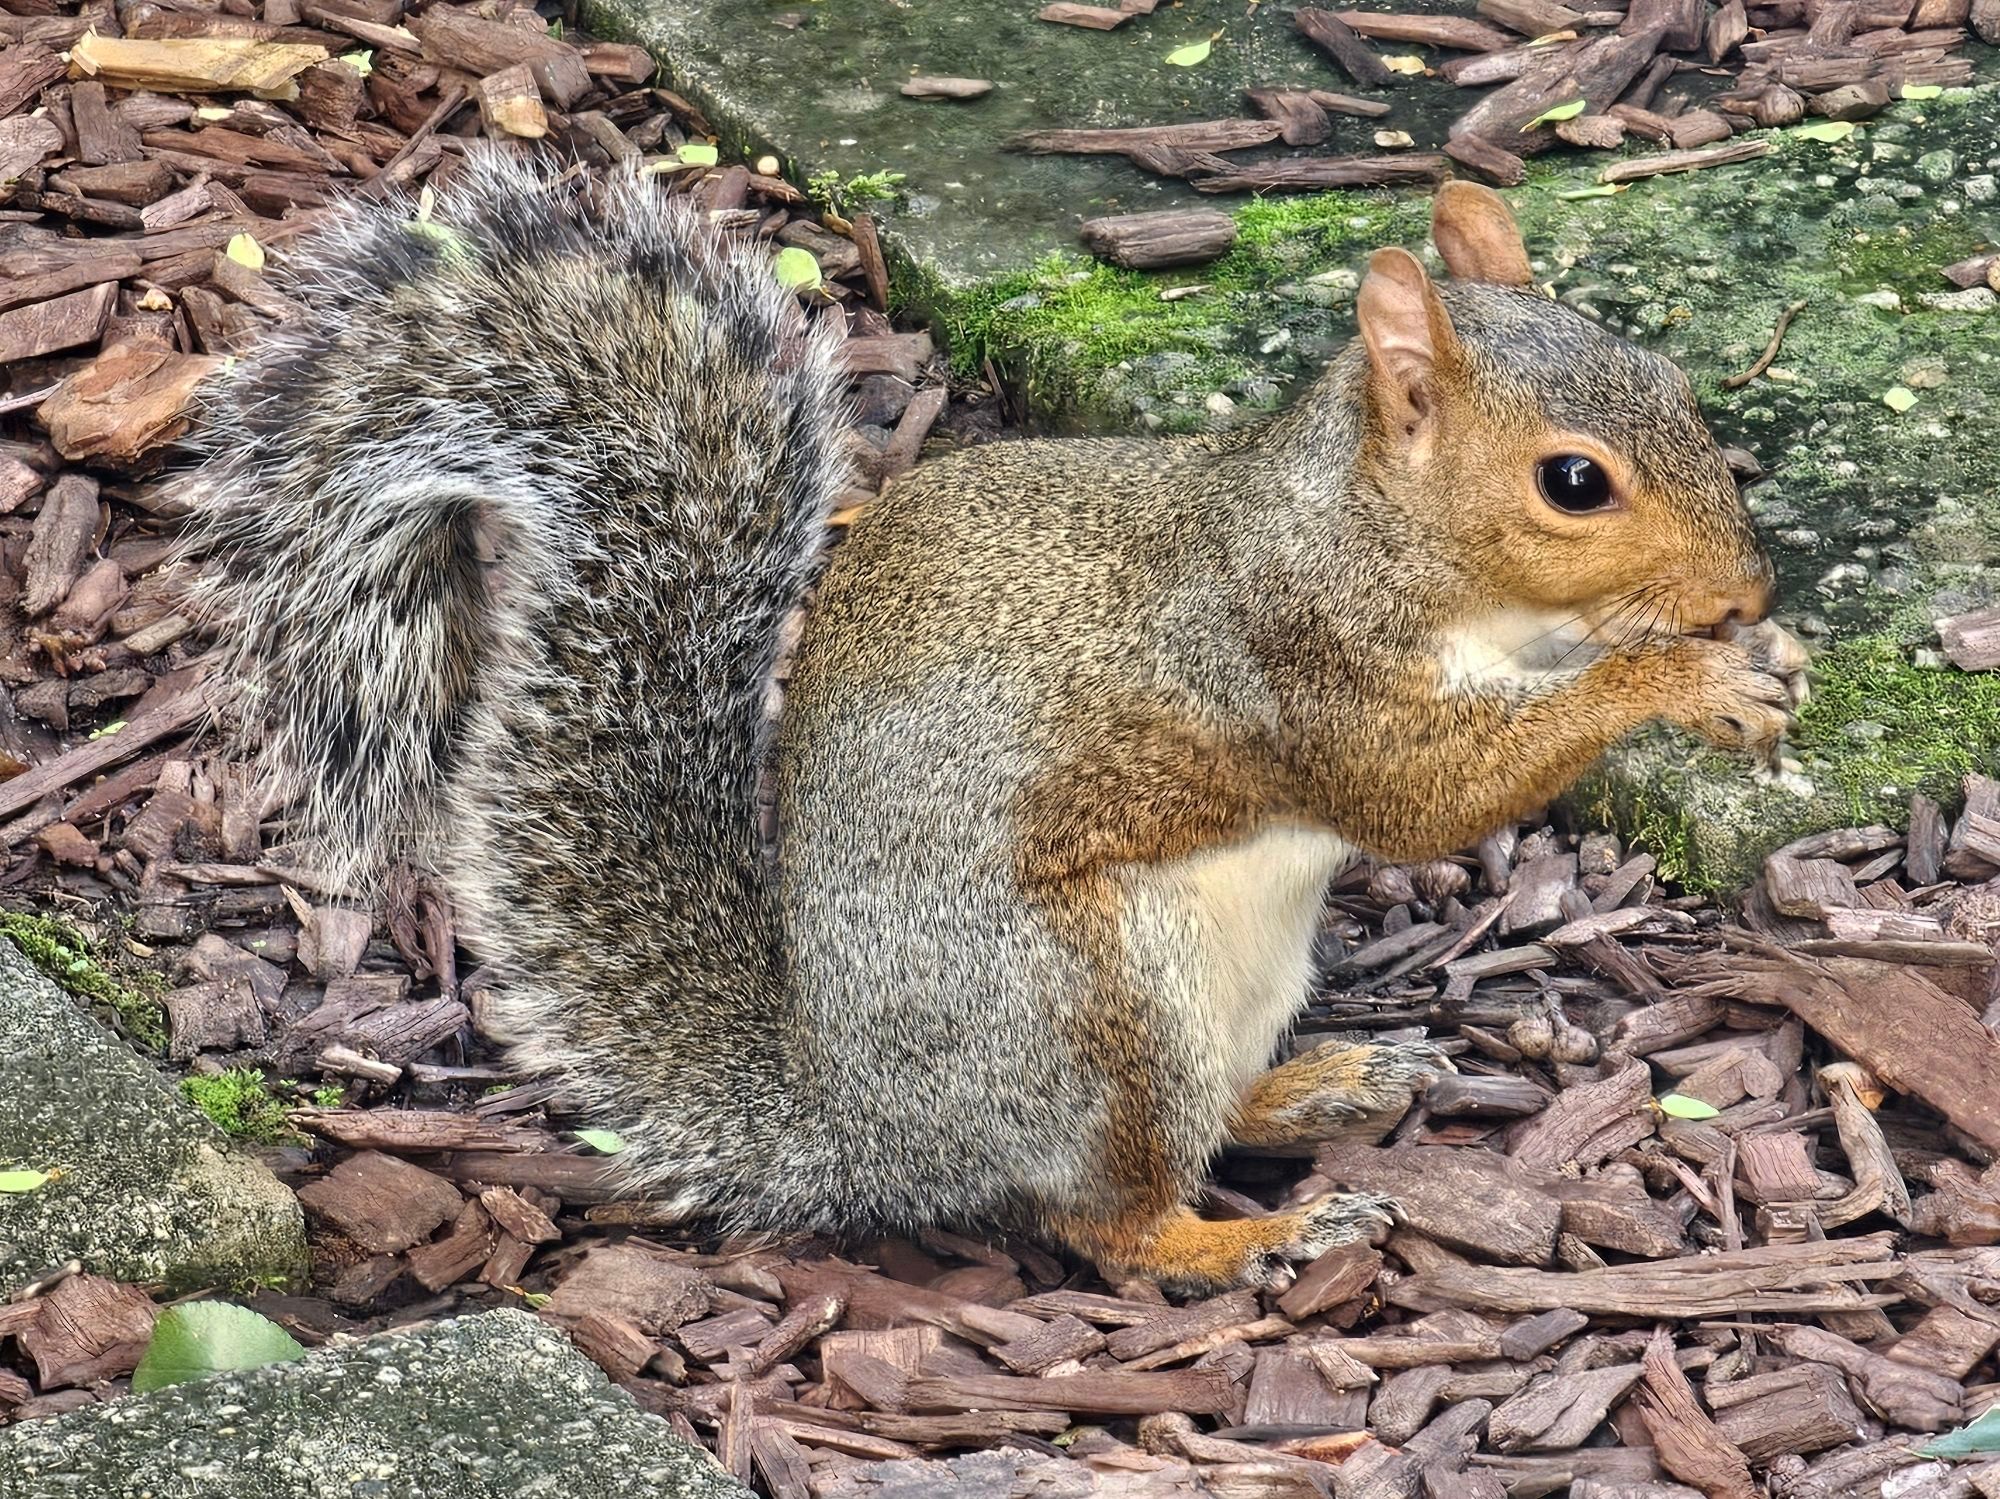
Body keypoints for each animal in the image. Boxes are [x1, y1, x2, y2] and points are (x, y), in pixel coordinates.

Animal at [180, 158, 1816, 1295]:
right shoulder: (1289, 663)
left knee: (1214, 1117)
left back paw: (1329, 1083)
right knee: (1105, 1215)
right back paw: (1239, 1242)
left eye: (1675, 385)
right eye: (1572, 482)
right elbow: (1425, 798)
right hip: (1093, 1011)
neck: (1371, 534)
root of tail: (862, 1120)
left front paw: (1751, 654)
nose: (1747, 586)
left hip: (1236, 979)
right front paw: (1679, 679)